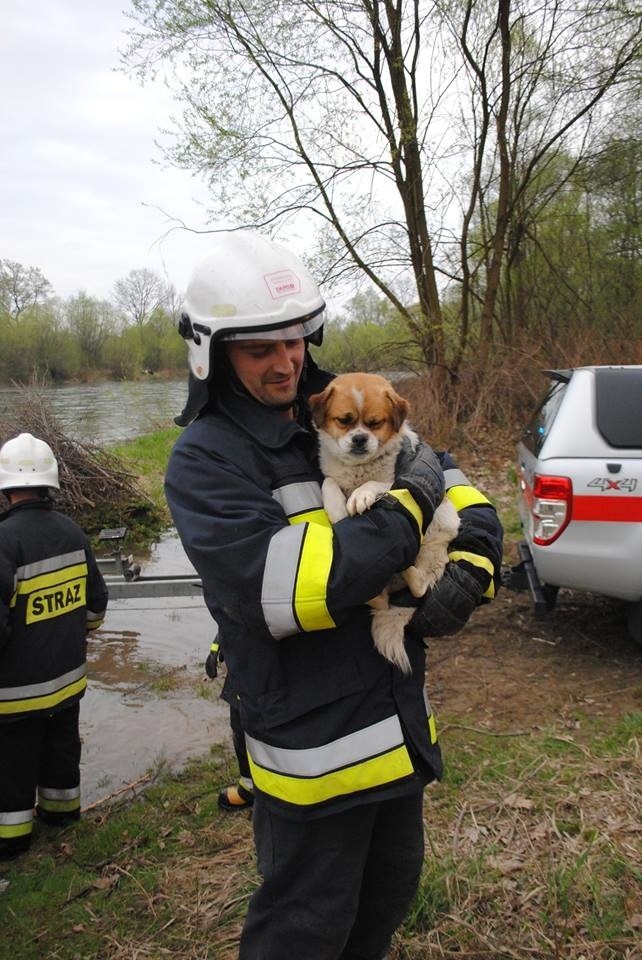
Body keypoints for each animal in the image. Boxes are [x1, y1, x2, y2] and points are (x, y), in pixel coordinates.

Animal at [308, 372, 458, 672]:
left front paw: (361, 495)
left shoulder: (392, 481)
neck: (358, 469)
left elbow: (376, 484)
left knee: (420, 586)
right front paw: (337, 507)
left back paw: (409, 569)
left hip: (437, 536)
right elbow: (330, 482)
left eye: (375, 423)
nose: (359, 438)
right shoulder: (332, 476)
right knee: (379, 599)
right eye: (344, 420)